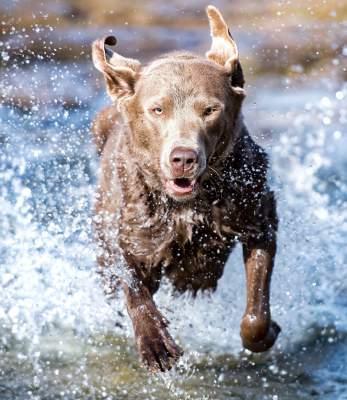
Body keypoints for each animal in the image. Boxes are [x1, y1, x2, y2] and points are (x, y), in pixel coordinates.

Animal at [91, 5, 282, 372]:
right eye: (157, 109)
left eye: (210, 110)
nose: (183, 158)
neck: (188, 206)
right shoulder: (132, 233)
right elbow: (134, 287)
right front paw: (155, 344)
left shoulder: (258, 218)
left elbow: (256, 310)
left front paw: (265, 334)